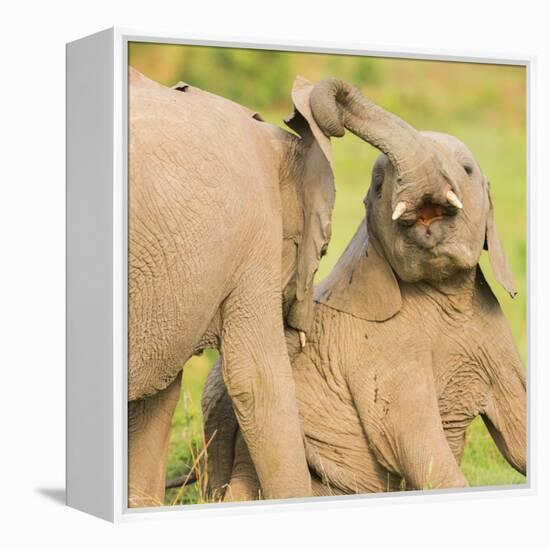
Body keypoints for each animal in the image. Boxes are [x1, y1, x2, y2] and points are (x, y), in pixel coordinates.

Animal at [202, 80, 528, 502]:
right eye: (378, 185)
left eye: (468, 170)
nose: (301, 108)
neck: (444, 291)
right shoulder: (381, 354)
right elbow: (414, 439)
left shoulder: (493, 335)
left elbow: (519, 430)